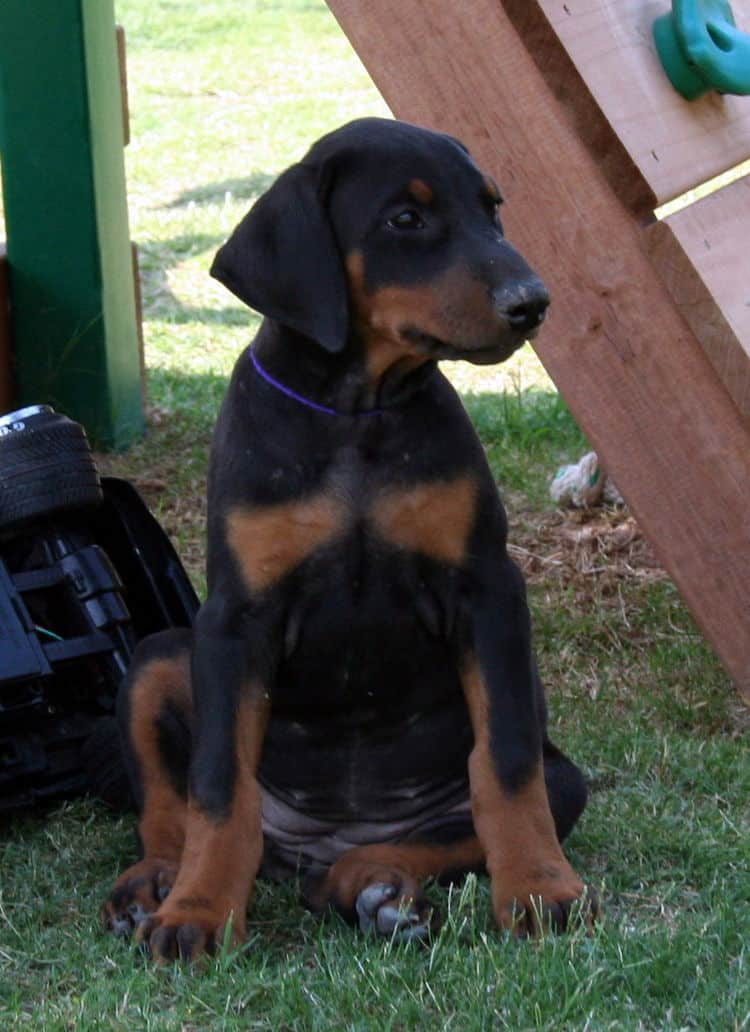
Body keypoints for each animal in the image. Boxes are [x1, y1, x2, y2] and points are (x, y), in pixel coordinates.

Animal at [102, 118, 594, 957]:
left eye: (492, 209)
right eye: (406, 218)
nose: (533, 302)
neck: (355, 413)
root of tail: (326, 840)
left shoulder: (487, 589)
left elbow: (504, 765)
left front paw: (540, 891)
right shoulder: (236, 619)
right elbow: (215, 788)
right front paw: (198, 912)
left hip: (562, 781)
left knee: (412, 842)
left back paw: (375, 887)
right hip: (160, 657)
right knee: (173, 810)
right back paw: (155, 887)